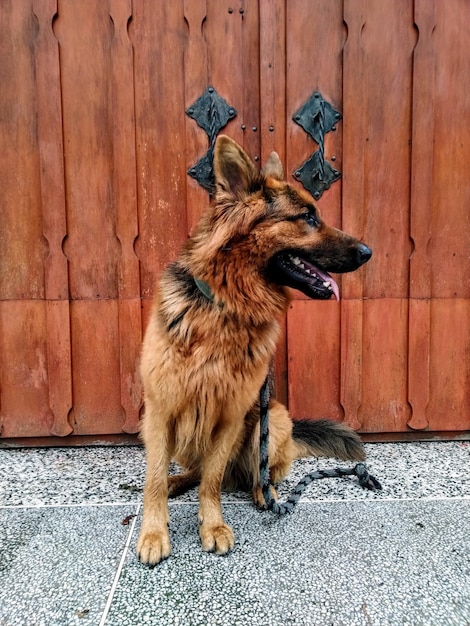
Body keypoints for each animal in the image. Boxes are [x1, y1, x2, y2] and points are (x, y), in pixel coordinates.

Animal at [136, 134, 370, 564]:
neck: (228, 306)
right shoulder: (160, 411)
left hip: (274, 418)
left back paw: (266, 492)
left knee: (254, 474)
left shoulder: (229, 415)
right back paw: (182, 481)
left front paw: (212, 525)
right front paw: (154, 533)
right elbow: (155, 479)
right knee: (194, 471)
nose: (368, 252)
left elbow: (212, 481)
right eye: (307, 217)